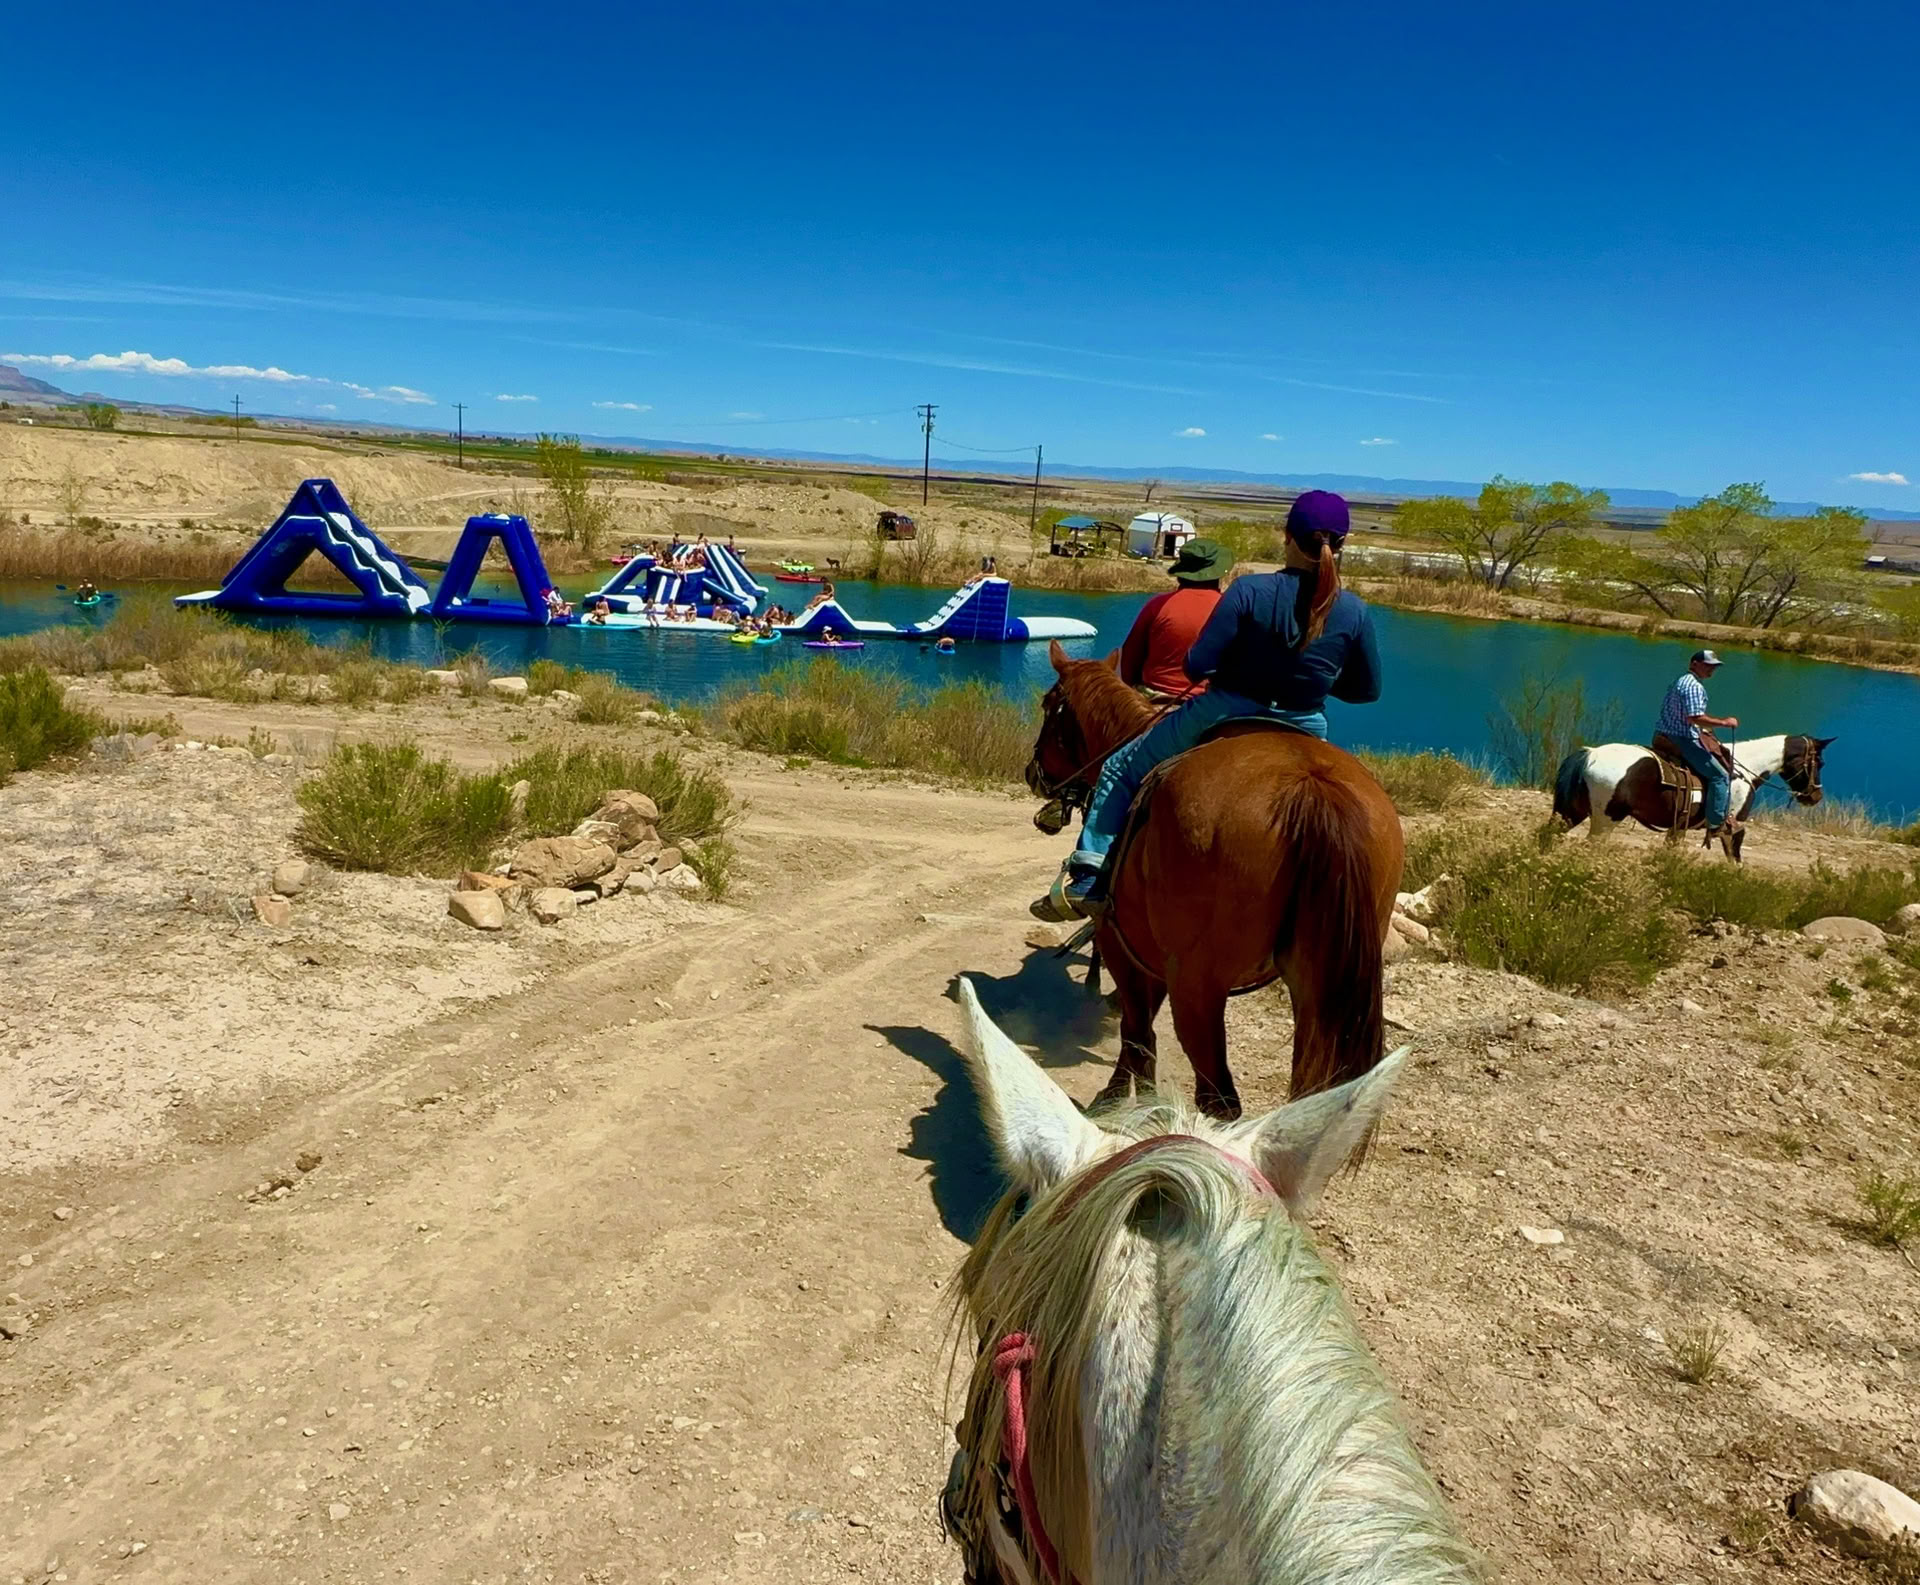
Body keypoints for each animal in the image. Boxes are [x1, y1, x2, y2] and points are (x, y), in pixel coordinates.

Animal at [1026, 642, 1403, 1120]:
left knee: (1217, 1097)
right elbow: (1139, 1033)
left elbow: (1137, 1033)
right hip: (1320, 993)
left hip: (1198, 987)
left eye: (1048, 705)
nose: (1033, 773)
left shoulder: (1122, 944)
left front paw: (1123, 1104)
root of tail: (1311, 786)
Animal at [1551, 734, 1832, 862]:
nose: (1815, 796)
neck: (1745, 771)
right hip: (1605, 820)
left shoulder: (1678, 827)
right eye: (1819, 762)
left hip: (1571, 813)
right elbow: (1734, 861)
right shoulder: (1733, 827)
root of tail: (1590, 754)